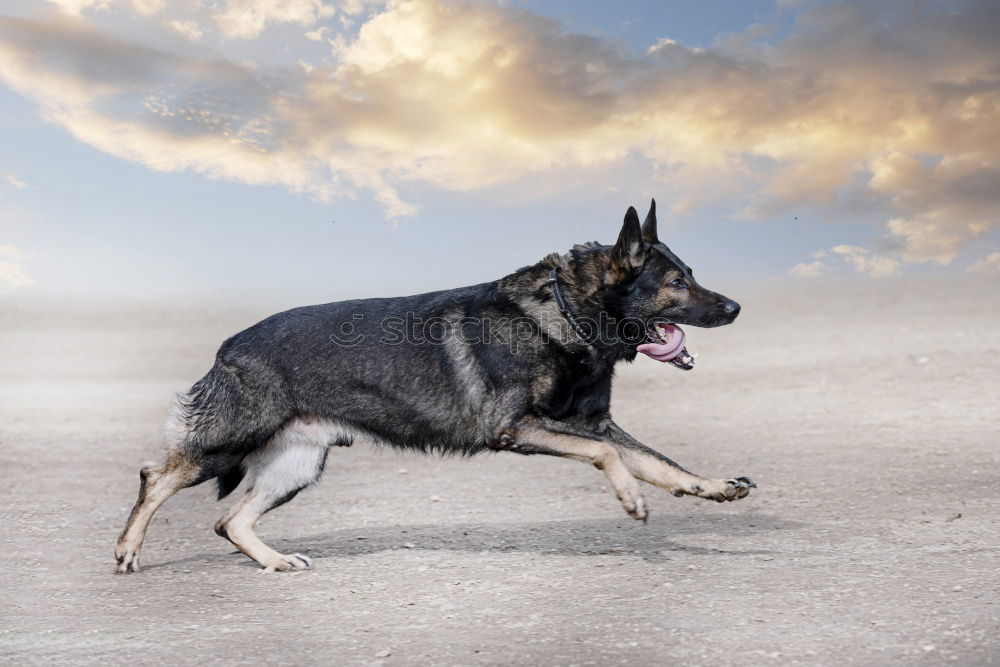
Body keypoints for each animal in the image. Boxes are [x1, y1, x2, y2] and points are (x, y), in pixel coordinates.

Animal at [115, 200, 752, 576]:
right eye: (675, 283)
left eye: (690, 275)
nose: (735, 308)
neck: (566, 313)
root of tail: (228, 346)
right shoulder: (517, 429)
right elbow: (609, 457)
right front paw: (631, 499)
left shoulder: (591, 424)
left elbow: (658, 461)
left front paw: (711, 487)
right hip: (226, 443)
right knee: (156, 476)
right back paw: (128, 550)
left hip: (298, 464)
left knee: (231, 521)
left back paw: (272, 560)